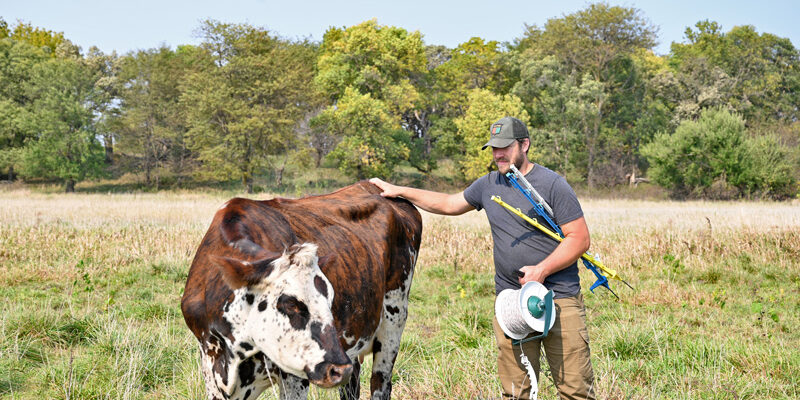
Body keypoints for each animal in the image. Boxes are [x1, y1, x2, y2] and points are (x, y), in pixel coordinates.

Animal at [181, 181, 422, 400]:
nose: (338, 369)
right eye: (290, 303)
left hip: (393, 320)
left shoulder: (295, 375)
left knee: (380, 384)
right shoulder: (210, 364)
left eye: (330, 300)